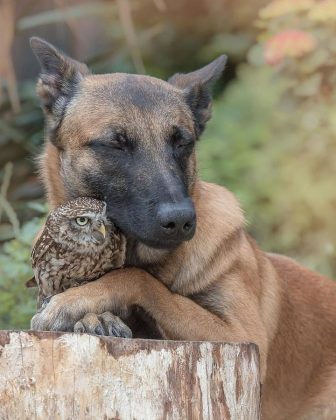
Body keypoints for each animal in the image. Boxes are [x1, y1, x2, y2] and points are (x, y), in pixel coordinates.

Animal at [29, 37, 336, 418]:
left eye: (182, 143)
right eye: (115, 144)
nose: (180, 220)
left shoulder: (242, 335)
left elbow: (140, 281)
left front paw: (76, 301)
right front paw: (93, 317)